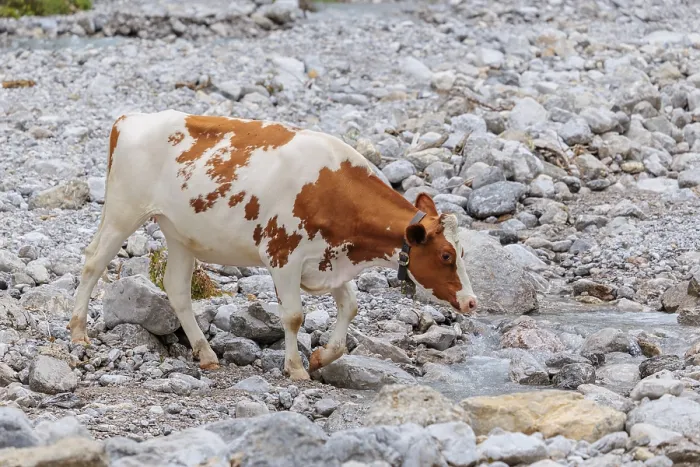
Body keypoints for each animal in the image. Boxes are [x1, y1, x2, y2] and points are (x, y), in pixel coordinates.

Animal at [68, 110, 478, 381]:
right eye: (445, 254)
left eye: (462, 252)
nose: (472, 302)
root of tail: (130, 118)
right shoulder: (283, 255)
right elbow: (293, 316)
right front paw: (295, 367)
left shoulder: (329, 259)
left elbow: (351, 306)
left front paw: (322, 357)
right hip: (123, 210)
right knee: (93, 262)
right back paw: (78, 332)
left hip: (180, 233)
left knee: (177, 289)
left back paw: (205, 353)